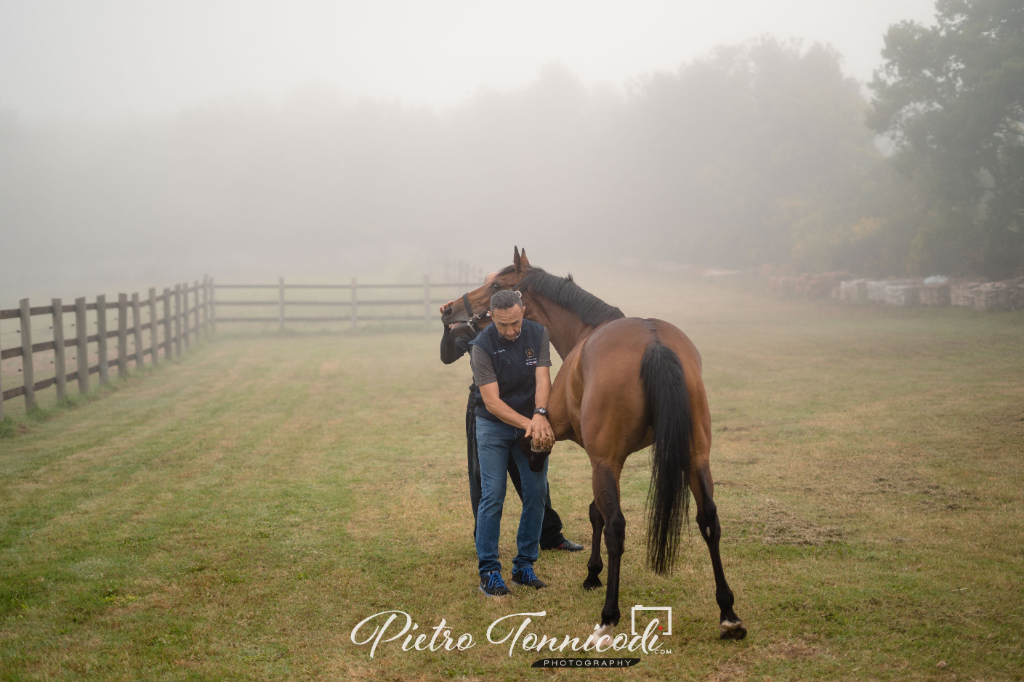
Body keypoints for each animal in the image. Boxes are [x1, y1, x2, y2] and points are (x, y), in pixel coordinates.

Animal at [440, 246, 745, 638]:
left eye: (495, 285)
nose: (449, 310)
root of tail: (653, 342)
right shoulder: (609, 460)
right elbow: (594, 510)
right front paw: (592, 573)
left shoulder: (588, 451)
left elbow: (593, 510)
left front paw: (592, 575)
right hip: (695, 457)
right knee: (708, 519)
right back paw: (728, 613)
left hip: (610, 463)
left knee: (616, 526)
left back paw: (609, 614)